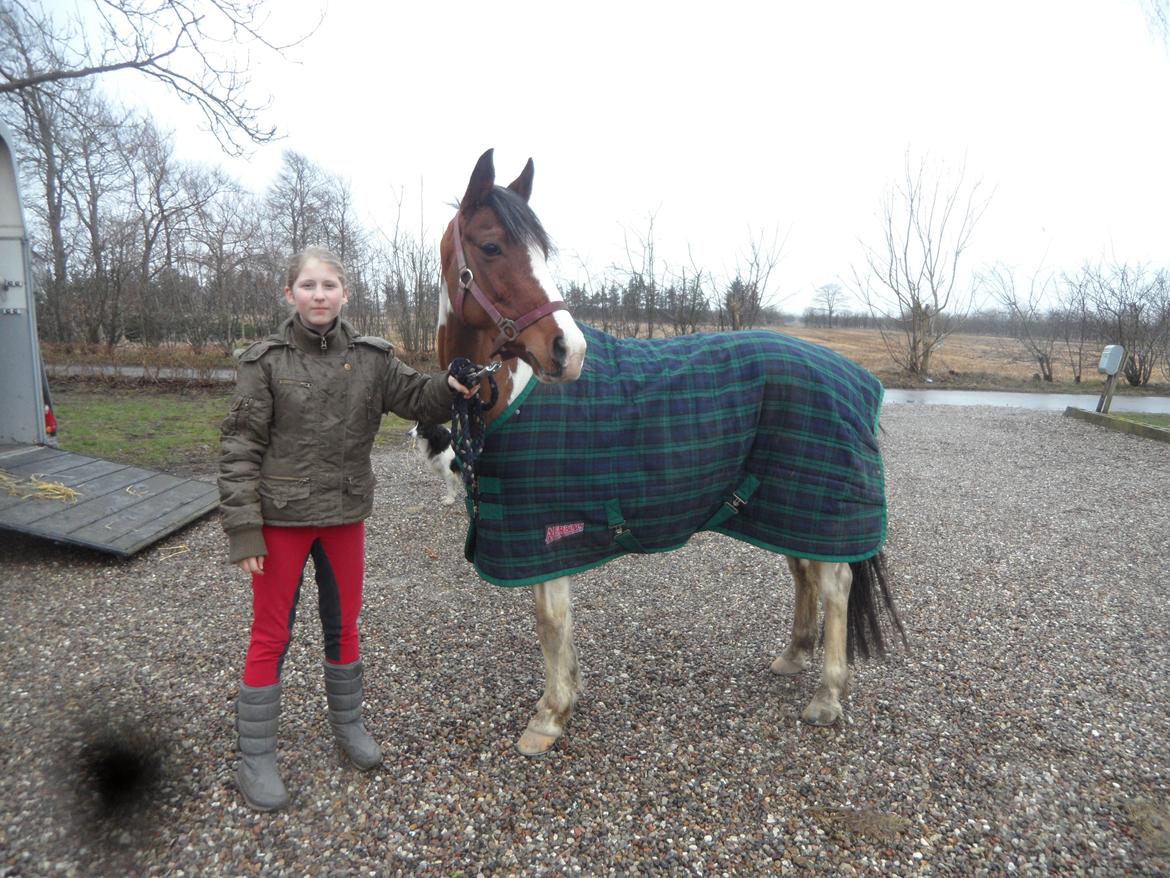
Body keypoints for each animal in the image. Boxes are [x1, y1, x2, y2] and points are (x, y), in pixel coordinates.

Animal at [436, 148, 905, 756]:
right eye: (492, 247)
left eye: (543, 252)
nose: (569, 351)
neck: (512, 394)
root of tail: (858, 379)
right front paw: (571, 692)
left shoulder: (543, 534)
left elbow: (550, 620)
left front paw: (550, 715)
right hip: (788, 505)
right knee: (803, 570)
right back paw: (793, 656)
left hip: (822, 506)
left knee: (834, 584)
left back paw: (826, 698)